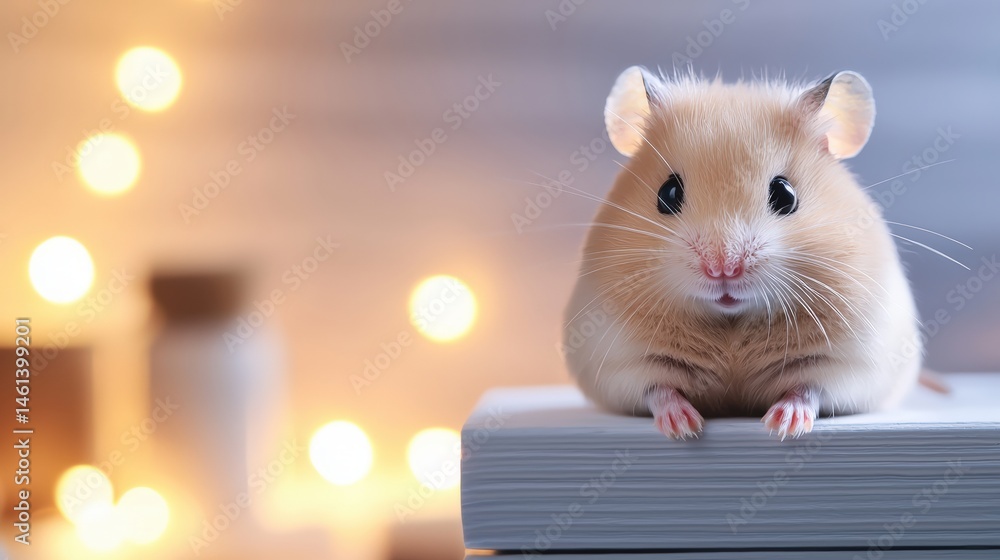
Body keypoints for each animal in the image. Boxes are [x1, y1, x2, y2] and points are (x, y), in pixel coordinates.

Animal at [563, 67, 921, 440]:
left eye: (785, 195)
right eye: (668, 193)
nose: (723, 269)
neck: (730, 323)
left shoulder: (848, 367)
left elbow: (808, 390)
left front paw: (782, 425)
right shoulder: (621, 366)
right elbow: (658, 391)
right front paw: (685, 427)